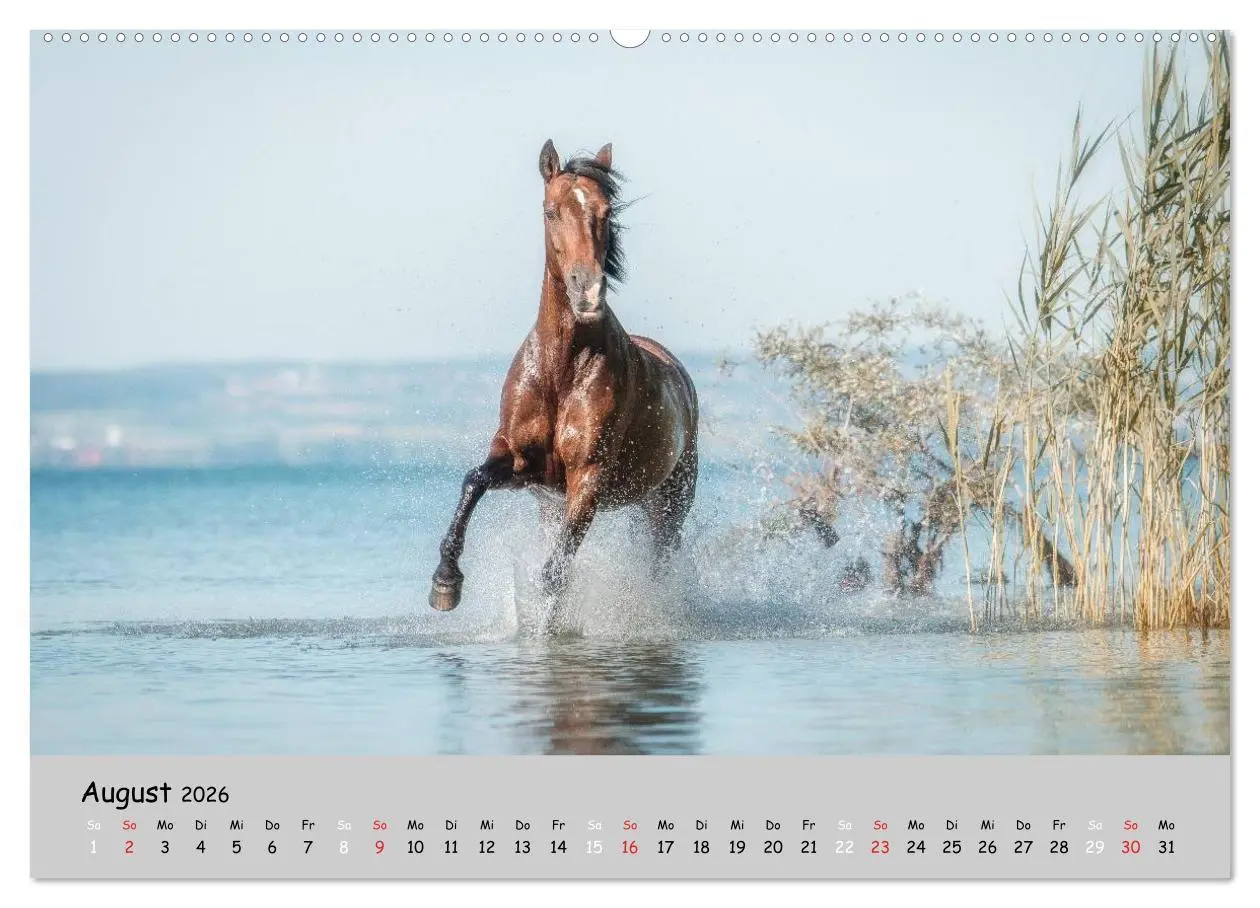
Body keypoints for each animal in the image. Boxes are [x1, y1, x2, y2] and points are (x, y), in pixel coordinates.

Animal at [429, 140, 699, 621]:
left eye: (606, 211)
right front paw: (446, 581)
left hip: (669, 501)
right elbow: (474, 480)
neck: (561, 370)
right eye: (551, 211)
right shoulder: (522, 462)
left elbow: (556, 570)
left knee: (660, 557)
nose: (587, 292)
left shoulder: (587, 477)